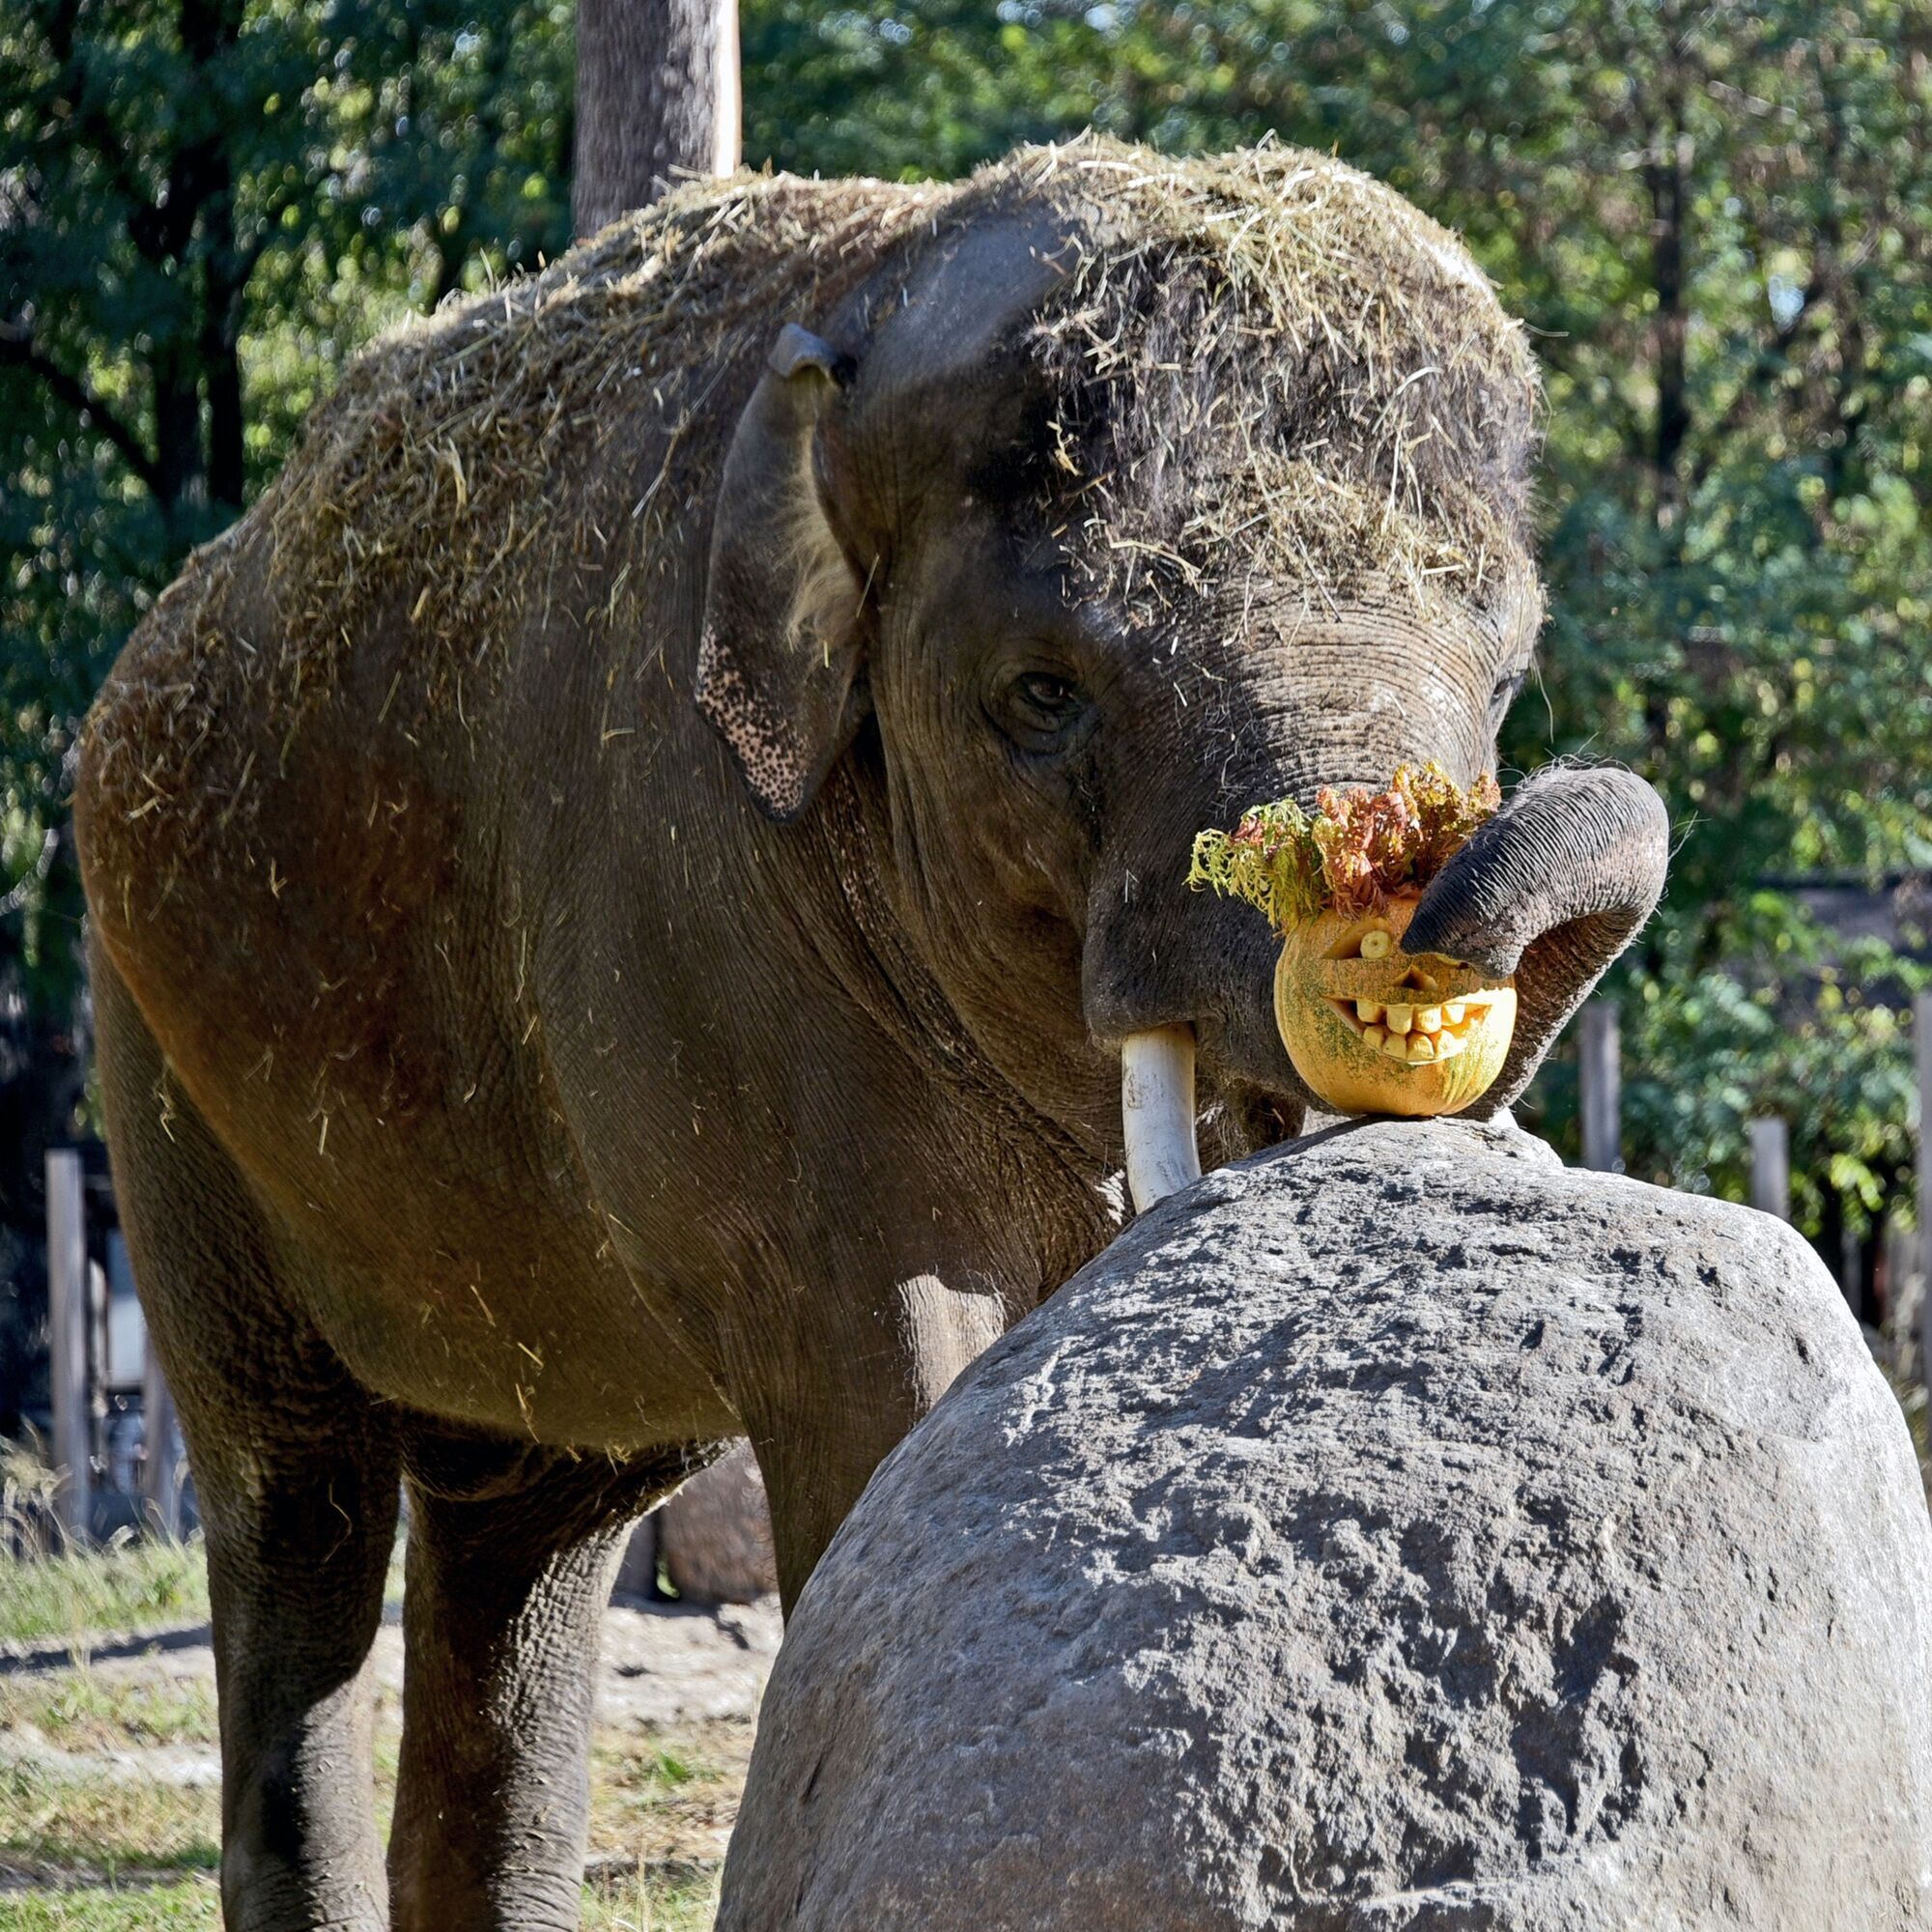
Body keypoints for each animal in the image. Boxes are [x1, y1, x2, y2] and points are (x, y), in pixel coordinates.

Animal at [75, 140, 1669, 1932]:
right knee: (299, 1504)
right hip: (160, 1070)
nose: (1408, 923)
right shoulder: (691, 905)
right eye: (1042, 694)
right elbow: (884, 1364)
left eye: (1512, 670)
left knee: (521, 1532)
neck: (869, 306)